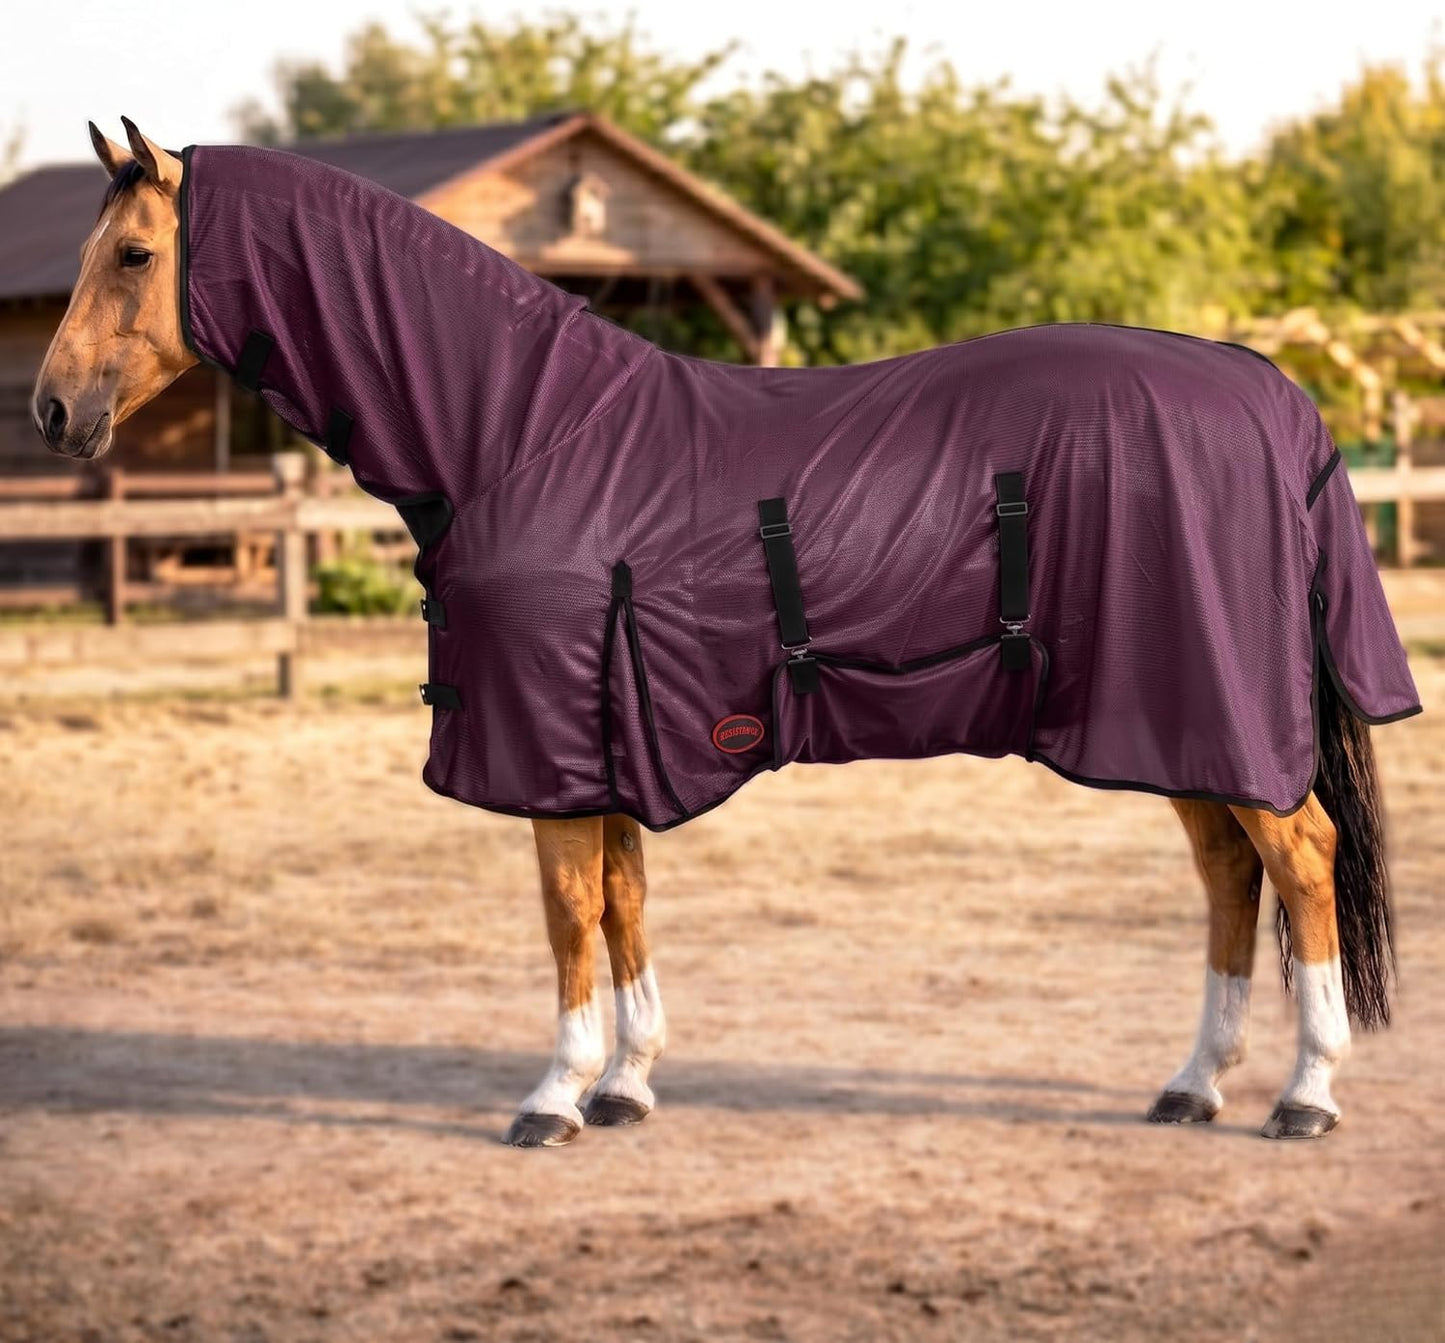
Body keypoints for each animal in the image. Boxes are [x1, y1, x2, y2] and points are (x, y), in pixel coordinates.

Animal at [32, 118, 1418, 1147]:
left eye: (136, 255)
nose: (50, 409)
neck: (521, 430)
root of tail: (1271, 391)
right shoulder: (606, 736)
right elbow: (624, 902)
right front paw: (627, 1081)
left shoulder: (554, 740)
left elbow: (569, 913)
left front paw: (554, 1095)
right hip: (1176, 721)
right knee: (1231, 871)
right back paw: (1192, 1083)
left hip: (1215, 717)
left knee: (1299, 857)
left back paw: (1304, 1093)